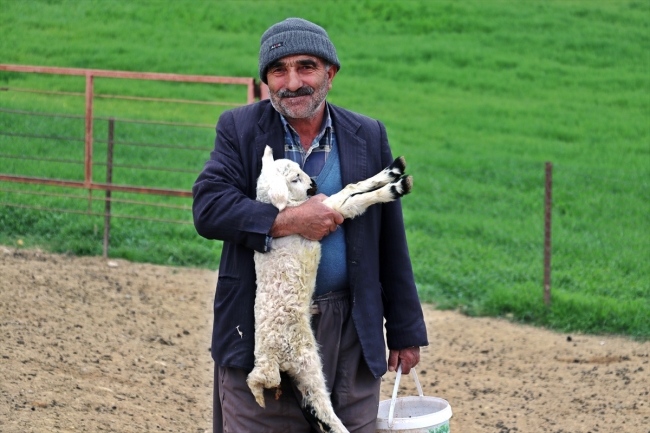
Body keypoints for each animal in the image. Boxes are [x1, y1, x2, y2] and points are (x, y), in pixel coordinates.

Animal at [248, 146, 410, 432]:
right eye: (294, 178)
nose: (313, 185)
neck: (288, 206)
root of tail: (269, 362)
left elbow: (352, 191)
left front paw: (393, 172)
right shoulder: (322, 212)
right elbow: (349, 196)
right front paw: (395, 186)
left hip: (298, 371)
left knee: (311, 407)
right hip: (306, 362)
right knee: (323, 407)